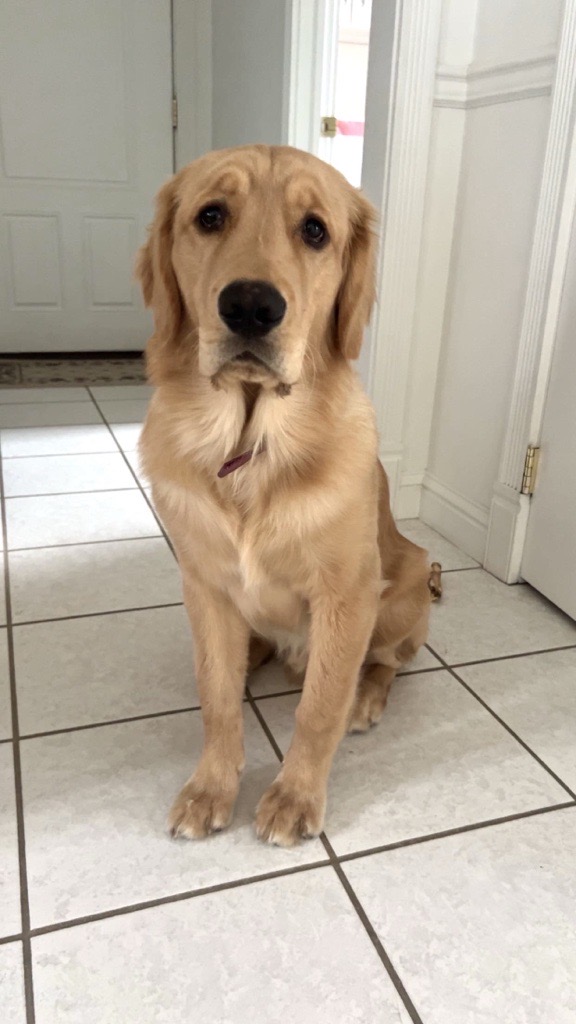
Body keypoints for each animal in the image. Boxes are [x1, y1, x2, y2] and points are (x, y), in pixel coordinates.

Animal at [135, 144, 430, 847]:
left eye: (315, 231)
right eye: (210, 216)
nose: (250, 306)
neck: (248, 444)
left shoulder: (348, 594)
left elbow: (319, 709)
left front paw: (295, 796)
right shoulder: (205, 584)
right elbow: (216, 697)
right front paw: (211, 787)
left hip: (407, 583)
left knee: (389, 661)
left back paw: (368, 695)